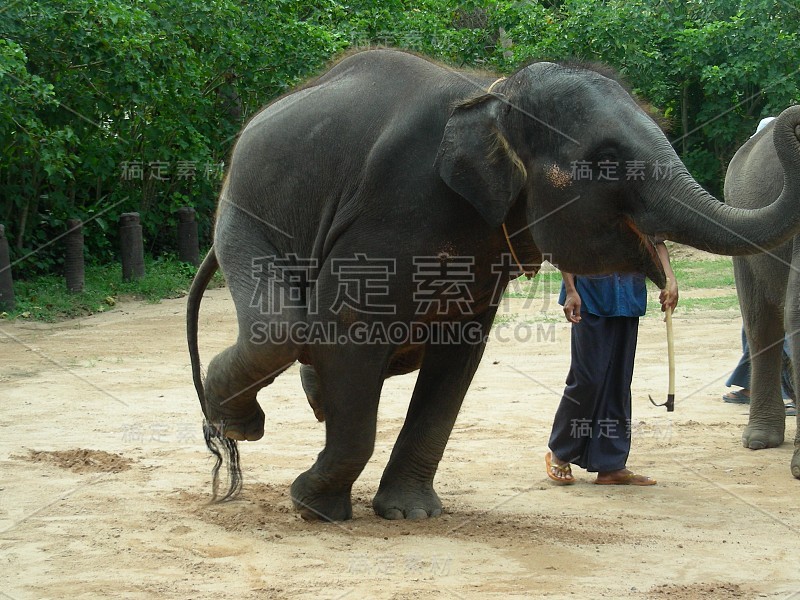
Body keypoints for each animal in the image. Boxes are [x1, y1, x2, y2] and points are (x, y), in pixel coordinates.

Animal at [184, 49, 800, 524]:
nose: (790, 121)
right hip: (243, 209)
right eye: (606, 160)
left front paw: (410, 514)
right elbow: (350, 330)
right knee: (282, 329)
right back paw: (238, 422)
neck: (495, 97)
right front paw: (314, 508)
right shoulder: (393, 210)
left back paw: (294, 404)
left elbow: (456, 359)